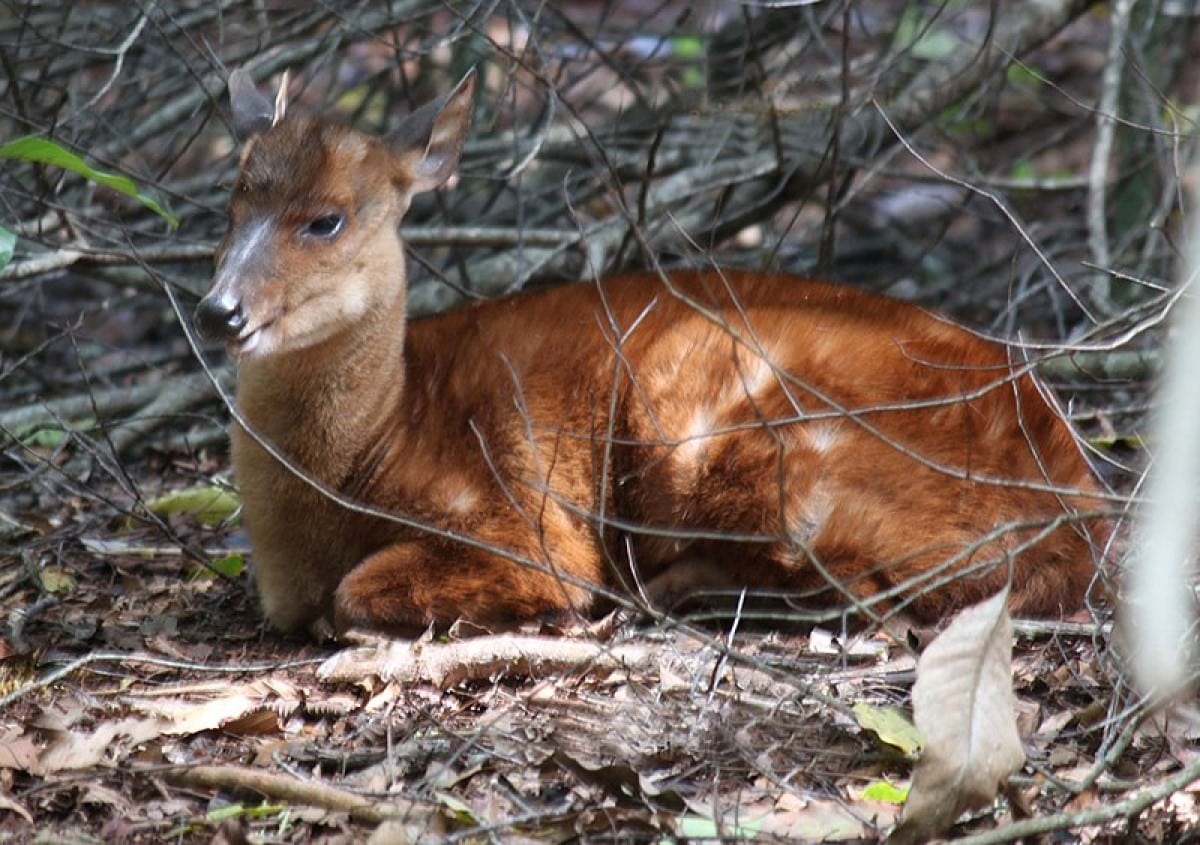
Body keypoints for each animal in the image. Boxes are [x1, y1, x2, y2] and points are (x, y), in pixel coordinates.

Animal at [194, 69, 1104, 638]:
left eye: (326, 220)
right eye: (229, 207)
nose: (218, 309)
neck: (374, 446)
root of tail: (1080, 522)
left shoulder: (518, 520)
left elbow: (364, 593)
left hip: (737, 436)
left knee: (862, 592)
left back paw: (649, 596)